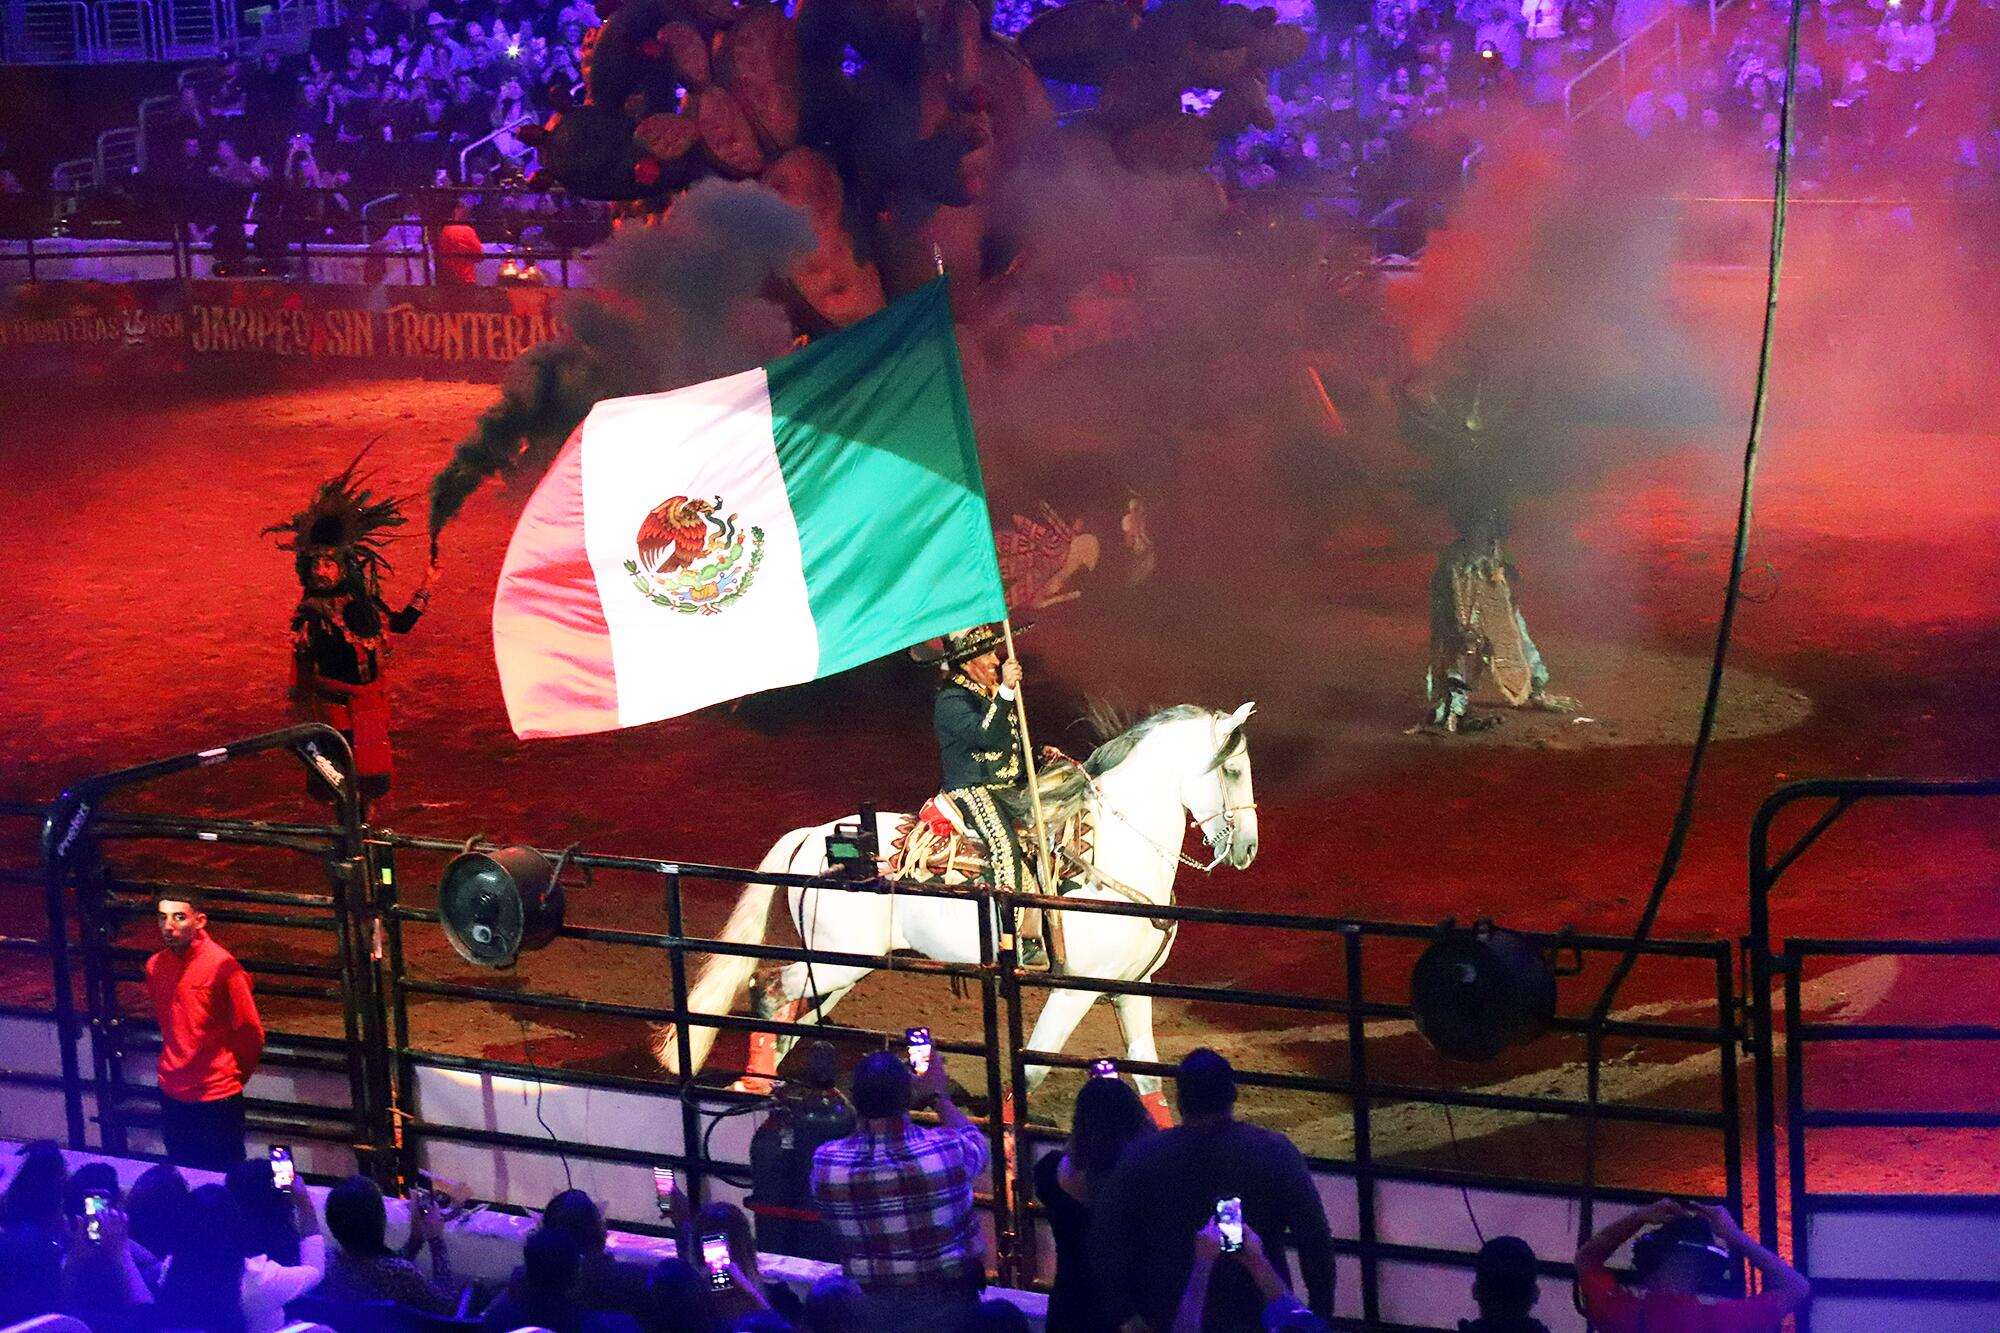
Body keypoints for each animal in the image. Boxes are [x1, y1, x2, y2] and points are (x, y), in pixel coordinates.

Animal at [656, 700, 1256, 1112]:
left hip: (839, 966)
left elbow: (1150, 1077)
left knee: (792, 1016)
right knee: (767, 991)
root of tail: (812, 836)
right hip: (835, 963)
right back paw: (753, 1083)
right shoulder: (1072, 991)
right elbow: (1029, 1075)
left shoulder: (1130, 989)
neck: (1111, 856)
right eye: (1232, 770)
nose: (1247, 848)